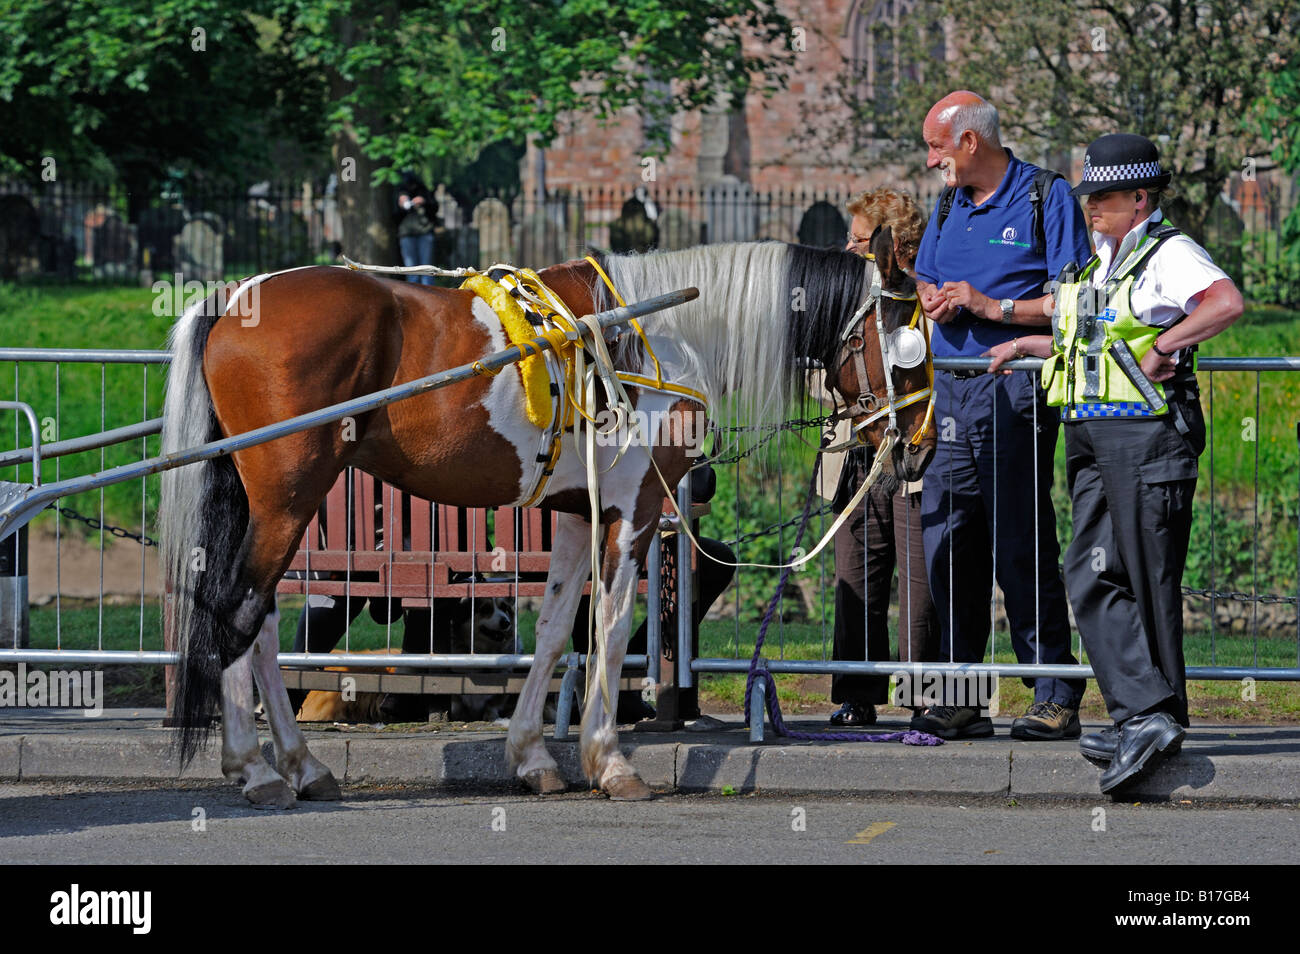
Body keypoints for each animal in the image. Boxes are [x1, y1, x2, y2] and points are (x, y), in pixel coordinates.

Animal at [159, 227, 935, 807]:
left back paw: (298, 763)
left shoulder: (576, 513)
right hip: (289, 497)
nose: (921, 445)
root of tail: (233, 300)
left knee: (257, 621)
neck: (661, 330)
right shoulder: (634, 510)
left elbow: (559, 629)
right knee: (241, 608)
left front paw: (533, 755)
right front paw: (609, 761)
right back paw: (256, 768)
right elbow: (612, 629)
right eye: (908, 337)